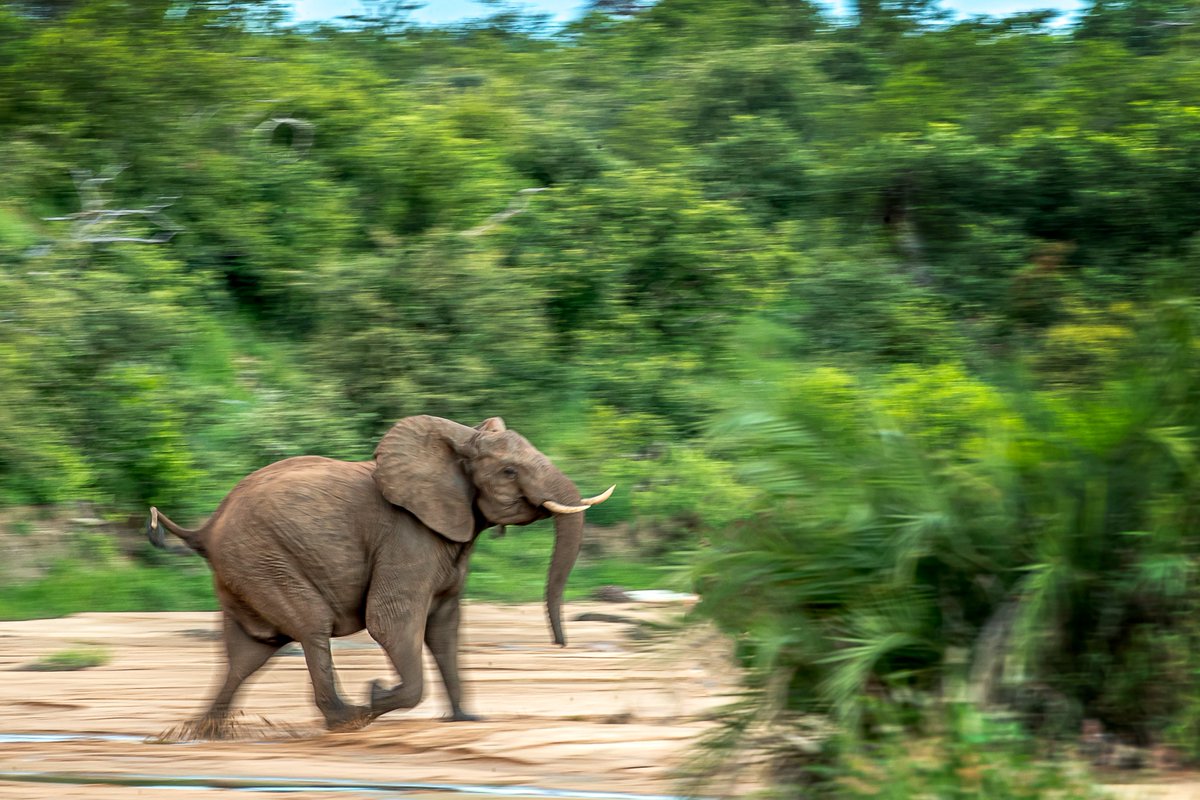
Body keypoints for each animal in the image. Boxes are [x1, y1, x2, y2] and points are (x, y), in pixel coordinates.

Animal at [146, 414, 613, 733]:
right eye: (510, 471)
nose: (560, 645)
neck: (456, 439)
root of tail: (205, 529)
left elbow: (445, 626)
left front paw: (466, 719)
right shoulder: (407, 537)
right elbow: (390, 622)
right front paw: (377, 692)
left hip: (245, 570)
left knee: (248, 652)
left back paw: (202, 734)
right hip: (262, 561)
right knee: (310, 625)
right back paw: (347, 719)